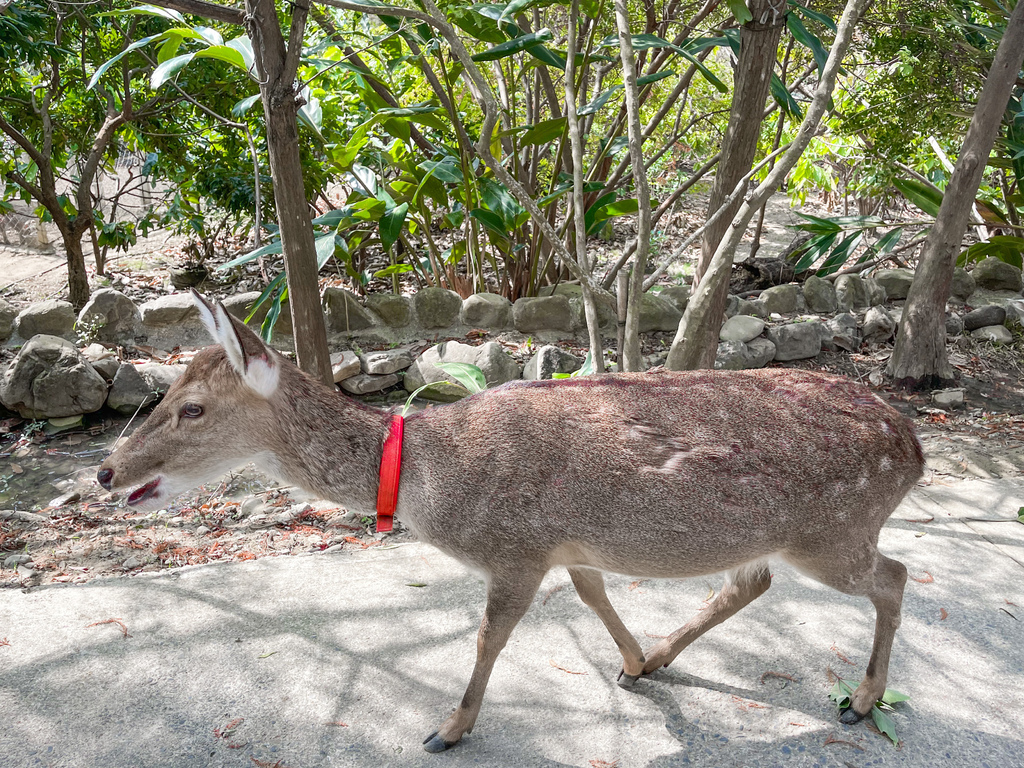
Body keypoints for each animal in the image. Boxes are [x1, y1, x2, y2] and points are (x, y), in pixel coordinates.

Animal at [97, 292, 929, 753]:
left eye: (192, 408)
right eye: (167, 392)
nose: (106, 471)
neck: (429, 479)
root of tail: (914, 447)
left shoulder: (517, 547)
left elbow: (489, 637)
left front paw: (448, 728)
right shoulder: (565, 544)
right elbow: (593, 593)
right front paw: (632, 662)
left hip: (834, 531)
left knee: (895, 574)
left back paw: (861, 701)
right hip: (787, 535)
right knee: (754, 581)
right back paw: (664, 657)